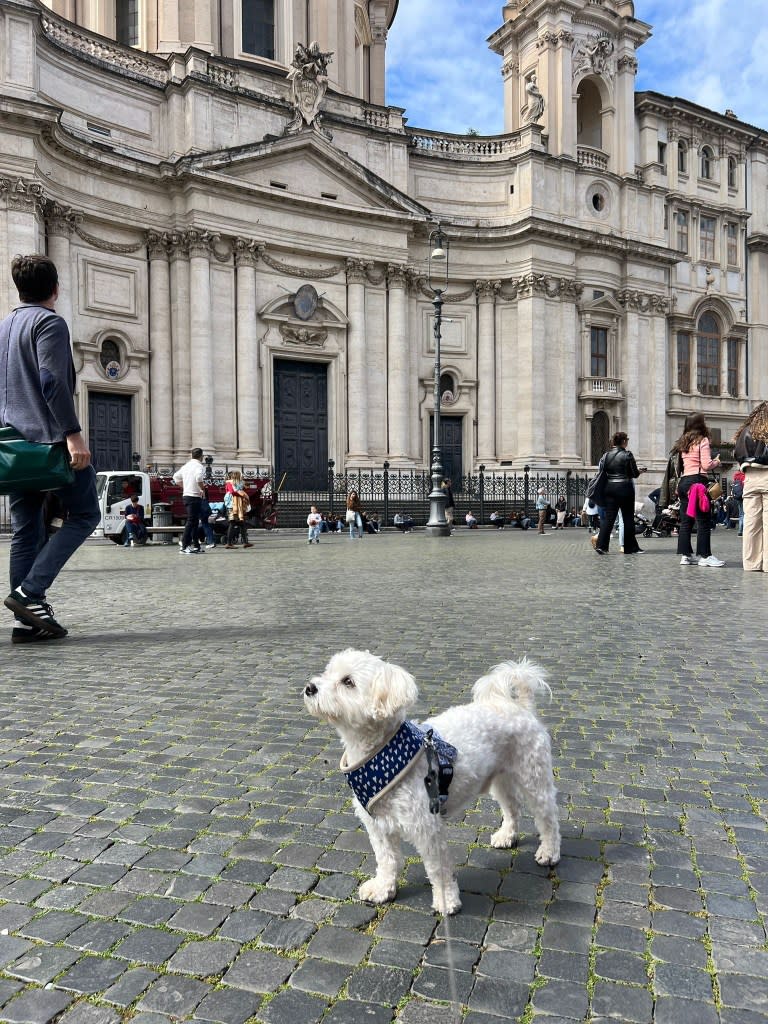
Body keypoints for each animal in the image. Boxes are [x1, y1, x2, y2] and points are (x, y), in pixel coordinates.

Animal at [303, 647, 561, 913]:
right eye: (327, 672)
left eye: (348, 682)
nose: (310, 687)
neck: (378, 753)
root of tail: (521, 707)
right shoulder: (377, 825)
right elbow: (386, 860)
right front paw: (383, 888)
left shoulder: (427, 826)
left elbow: (439, 869)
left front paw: (447, 900)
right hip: (500, 779)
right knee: (511, 807)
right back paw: (507, 836)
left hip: (533, 776)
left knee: (548, 817)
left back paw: (549, 851)